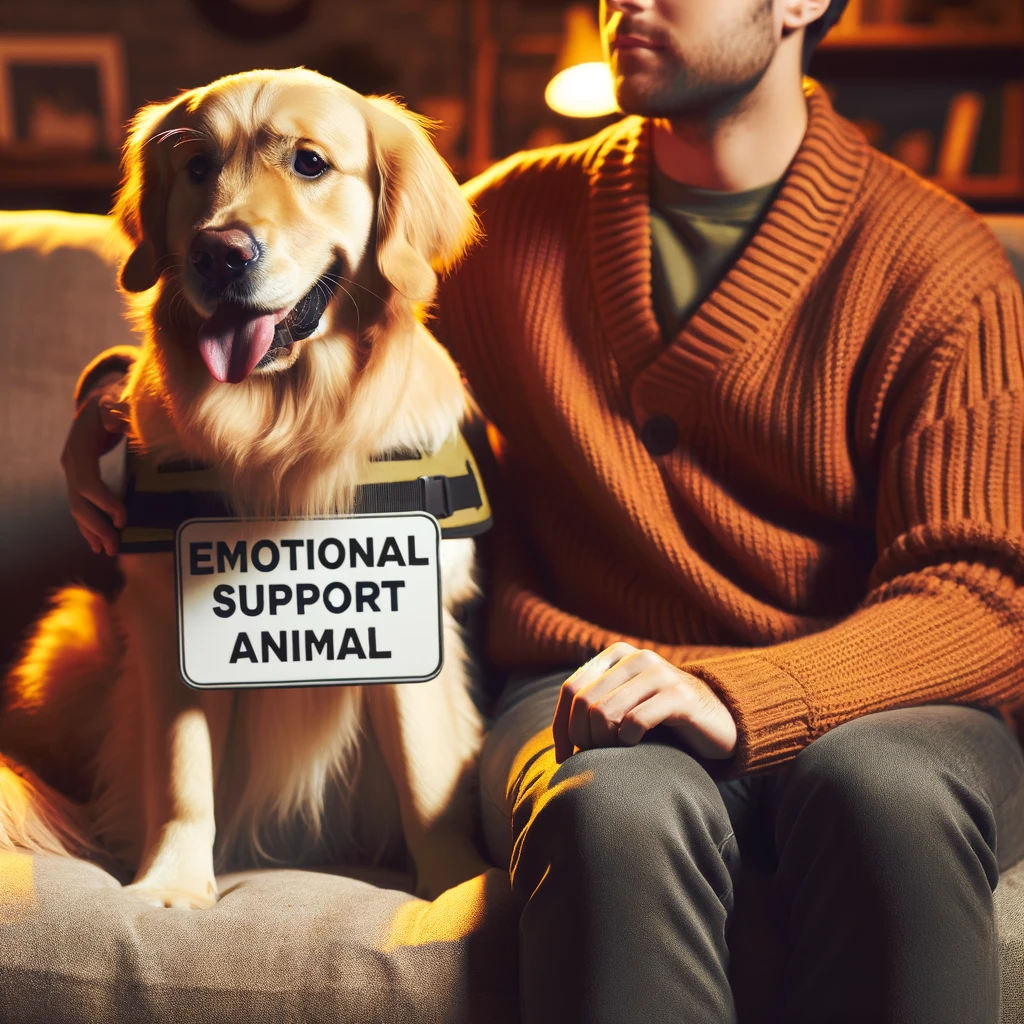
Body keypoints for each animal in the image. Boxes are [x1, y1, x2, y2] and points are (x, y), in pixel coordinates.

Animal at [0, 68, 491, 909]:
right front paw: (172, 885)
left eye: (310, 164)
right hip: (71, 643)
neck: (283, 434)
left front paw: (452, 880)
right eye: (197, 167)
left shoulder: (412, 609)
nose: (219, 254)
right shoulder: (167, 620)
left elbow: (425, 768)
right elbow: (182, 770)